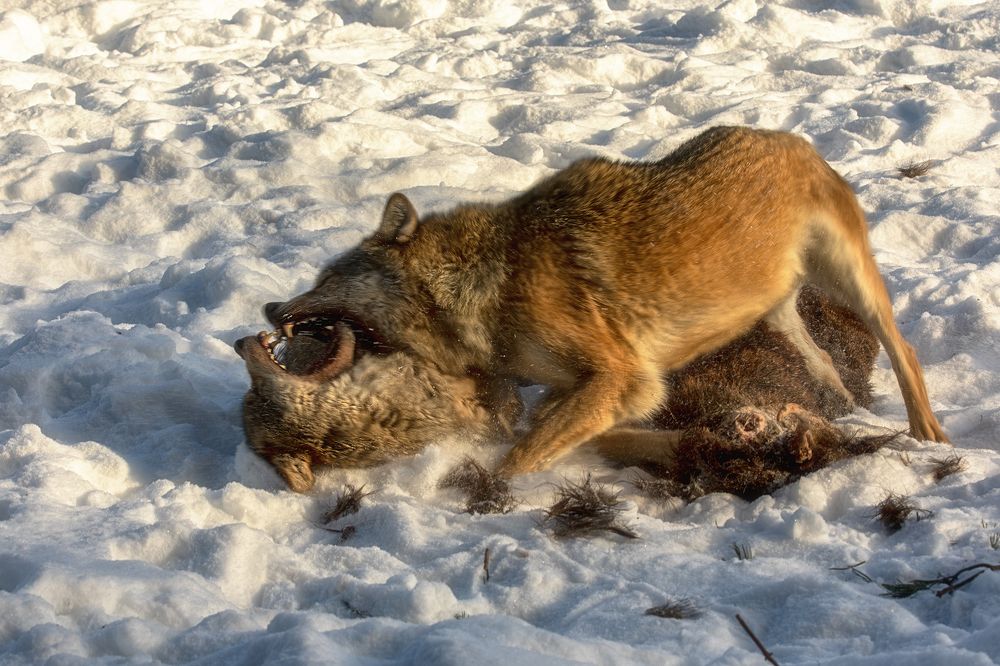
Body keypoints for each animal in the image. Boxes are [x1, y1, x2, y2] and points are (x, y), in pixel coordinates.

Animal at [264, 126, 948, 477]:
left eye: (327, 275)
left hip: (848, 280)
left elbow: (519, 457)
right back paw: (844, 406)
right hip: (776, 310)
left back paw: (928, 434)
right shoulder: (586, 389)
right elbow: (560, 432)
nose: (270, 312)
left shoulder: (626, 379)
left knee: (906, 350)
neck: (490, 284)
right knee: (825, 359)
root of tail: (787, 135)